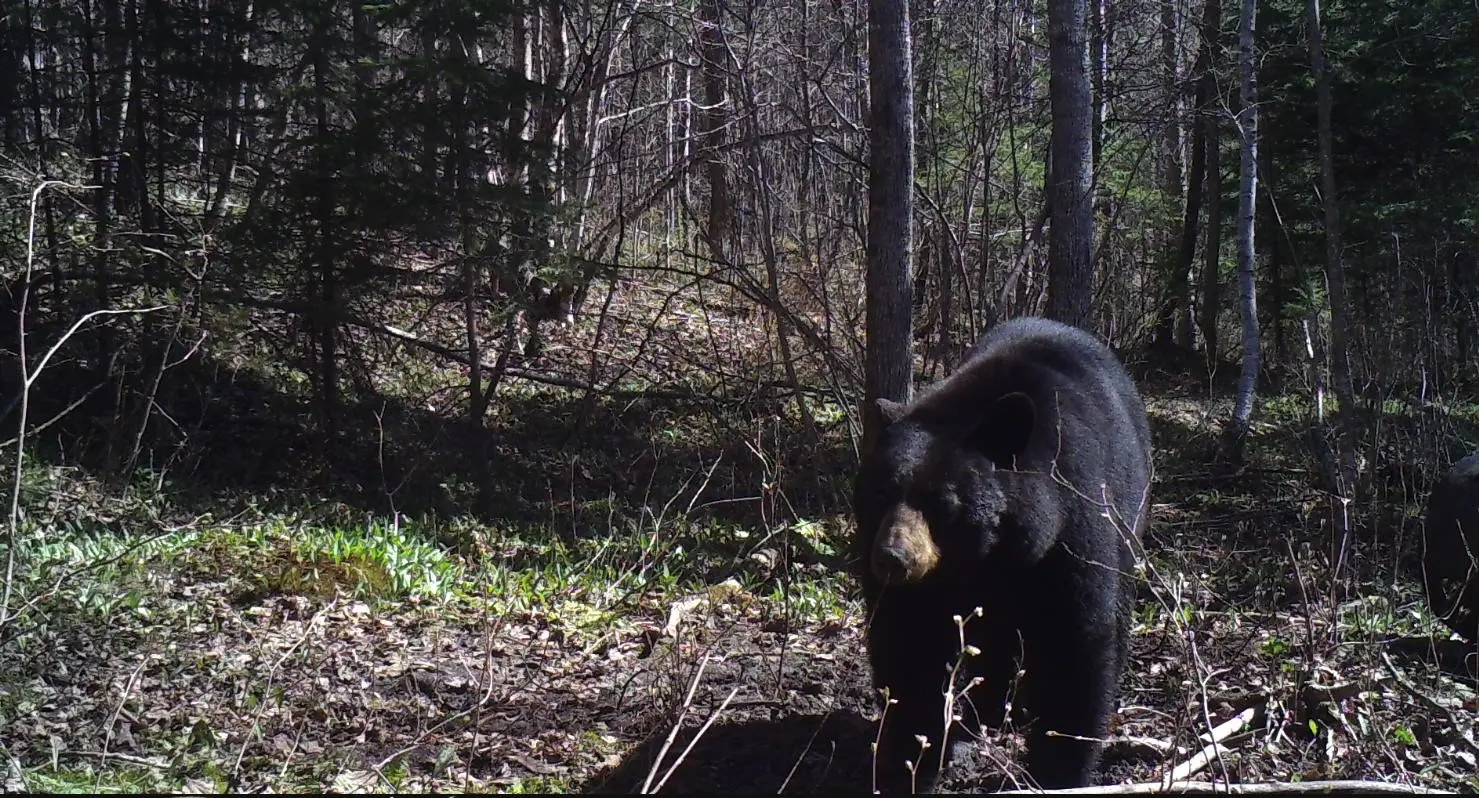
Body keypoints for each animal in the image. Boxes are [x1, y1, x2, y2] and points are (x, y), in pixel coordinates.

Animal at [851, 316, 1153, 794]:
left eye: (940, 501)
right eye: (882, 491)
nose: (892, 558)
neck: (985, 560)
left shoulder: (1070, 534)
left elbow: (1076, 646)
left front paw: (1061, 771)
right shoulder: (918, 591)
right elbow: (907, 647)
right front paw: (906, 761)